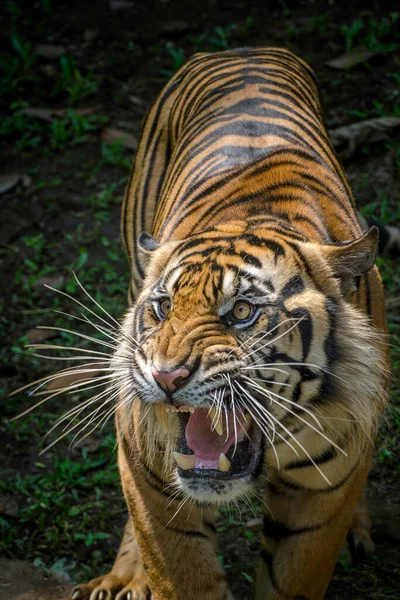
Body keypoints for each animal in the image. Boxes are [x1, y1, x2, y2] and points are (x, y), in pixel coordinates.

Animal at [70, 48, 390, 600]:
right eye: (162, 308)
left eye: (242, 311)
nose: (166, 377)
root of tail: (243, 51)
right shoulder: (151, 475)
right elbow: (180, 569)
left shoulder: (321, 493)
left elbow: (294, 575)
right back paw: (121, 580)